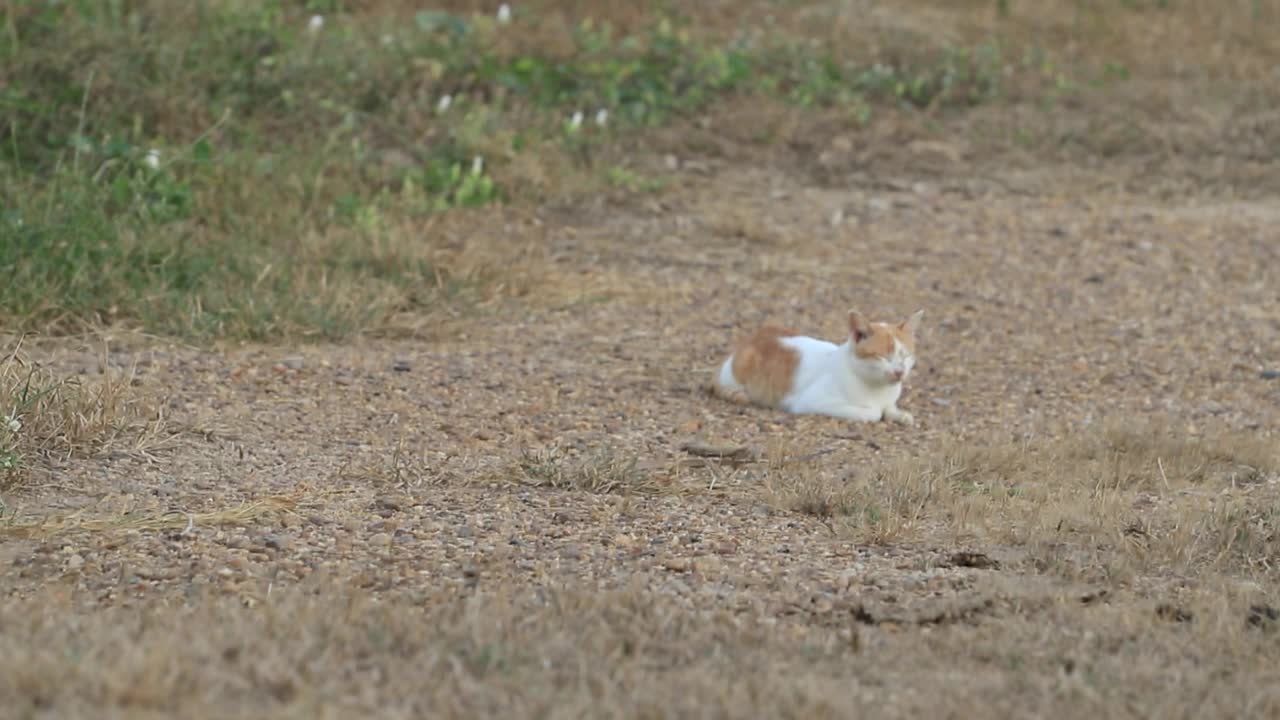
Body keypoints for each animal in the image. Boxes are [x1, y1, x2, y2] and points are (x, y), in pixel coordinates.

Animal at [716, 308, 926, 420]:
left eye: (906, 356)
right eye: (883, 357)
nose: (899, 372)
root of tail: (751, 338)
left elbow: (890, 409)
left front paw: (899, 414)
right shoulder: (812, 401)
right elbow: (873, 413)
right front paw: (879, 412)